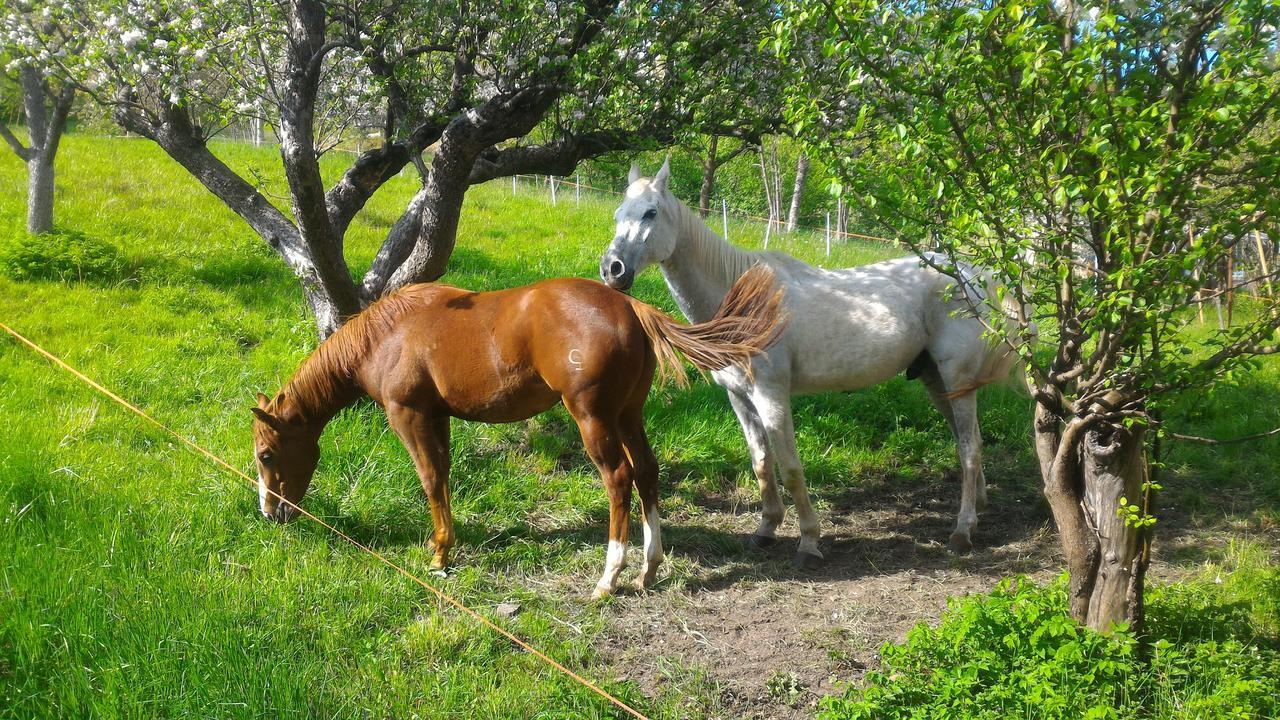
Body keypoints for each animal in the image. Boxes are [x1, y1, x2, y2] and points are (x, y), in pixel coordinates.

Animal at [252, 263, 778, 594]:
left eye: (265, 455)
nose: (270, 513)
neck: (388, 334)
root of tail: (630, 308)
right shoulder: (437, 417)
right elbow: (444, 477)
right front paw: (446, 545)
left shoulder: (409, 415)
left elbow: (429, 479)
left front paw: (439, 557)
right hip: (629, 416)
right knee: (647, 474)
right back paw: (648, 570)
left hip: (593, 420)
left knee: (619, 480)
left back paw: (609, 578)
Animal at [599, 158, 1018, 566]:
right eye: (619, 213)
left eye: (651, 212)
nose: (612, 269)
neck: (745, 302)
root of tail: (970, 275)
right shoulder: (739, 398)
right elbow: (761, 462)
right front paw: (766, 530)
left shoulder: (771, 396)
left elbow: (791, 468)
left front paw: (809, 541)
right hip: (937, 381)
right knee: (966, 443)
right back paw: (977, 511)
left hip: (956, 378)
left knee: (970, 447)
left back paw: (961, 532)